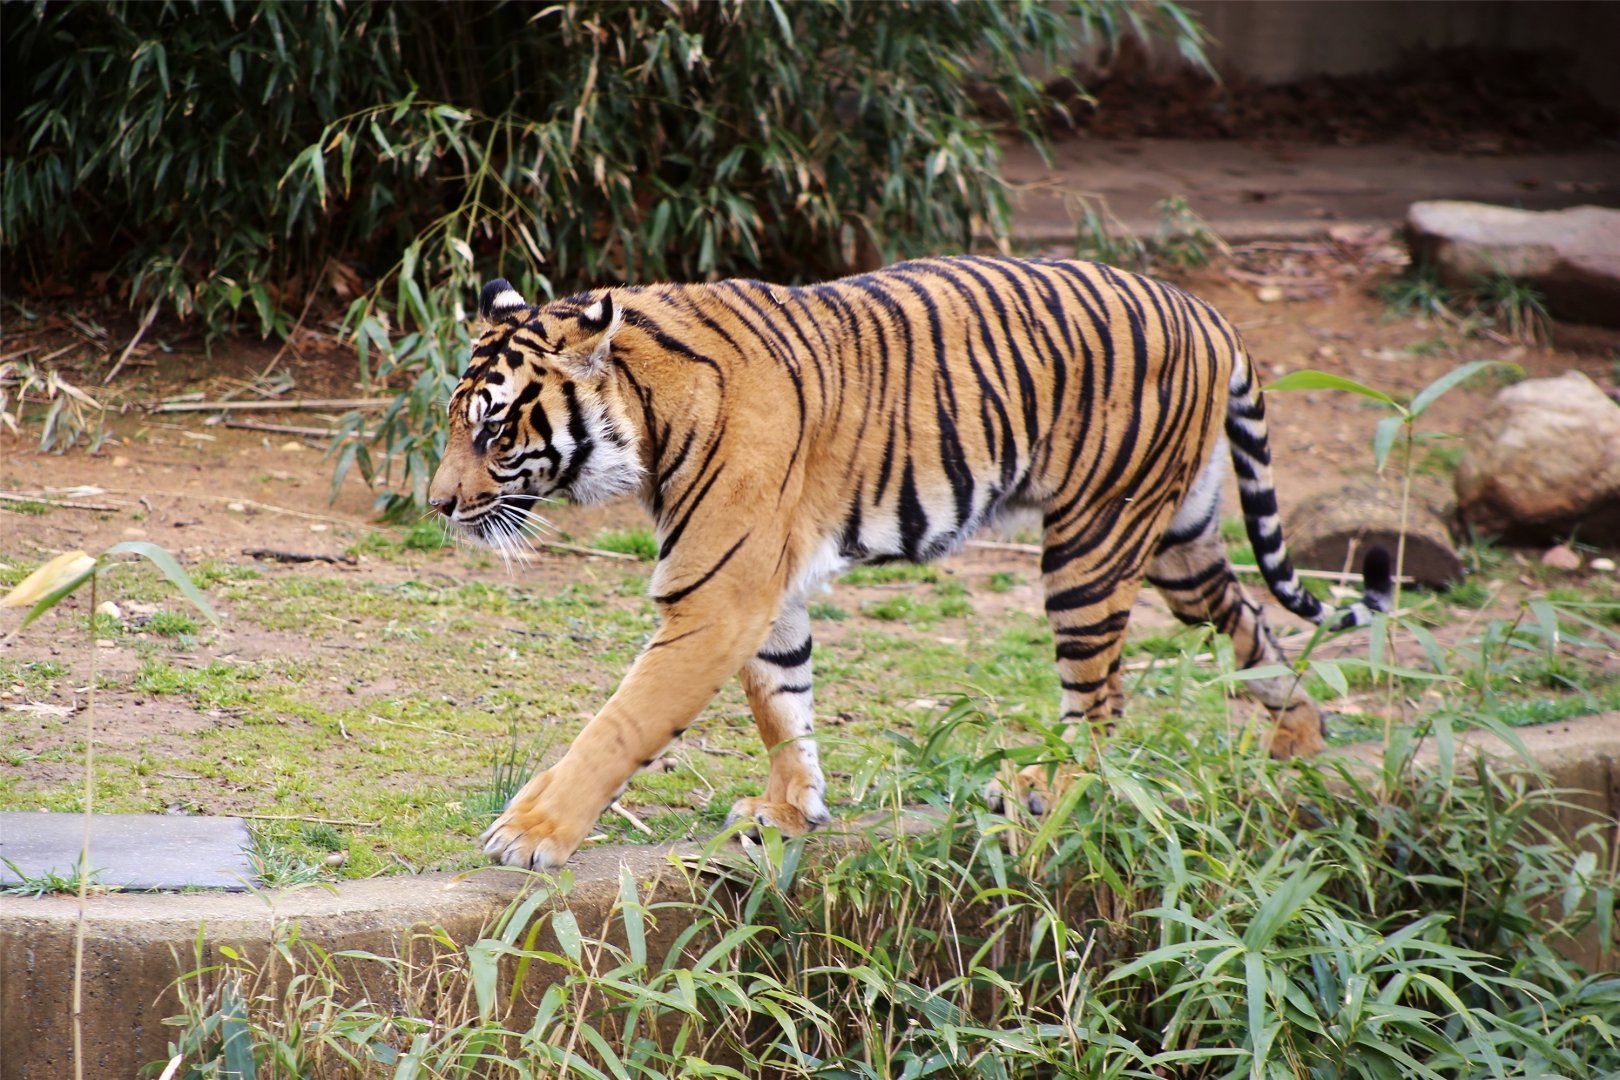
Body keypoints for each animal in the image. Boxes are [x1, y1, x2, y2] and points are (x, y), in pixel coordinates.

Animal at [428, 255, 1391, 870]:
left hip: (1091, 544)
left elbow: (622, 723)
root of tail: (1205, 310)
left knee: (1104, 699)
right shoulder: (762, 591)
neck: (649, 416)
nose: (435, 505)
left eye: (492, 430)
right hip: (1179, 542)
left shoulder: (716, 596)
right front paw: (789, 811)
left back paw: (1049, 786)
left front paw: (532, 832)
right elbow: (783, 705)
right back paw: (1299, 742)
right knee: (1251, 621)